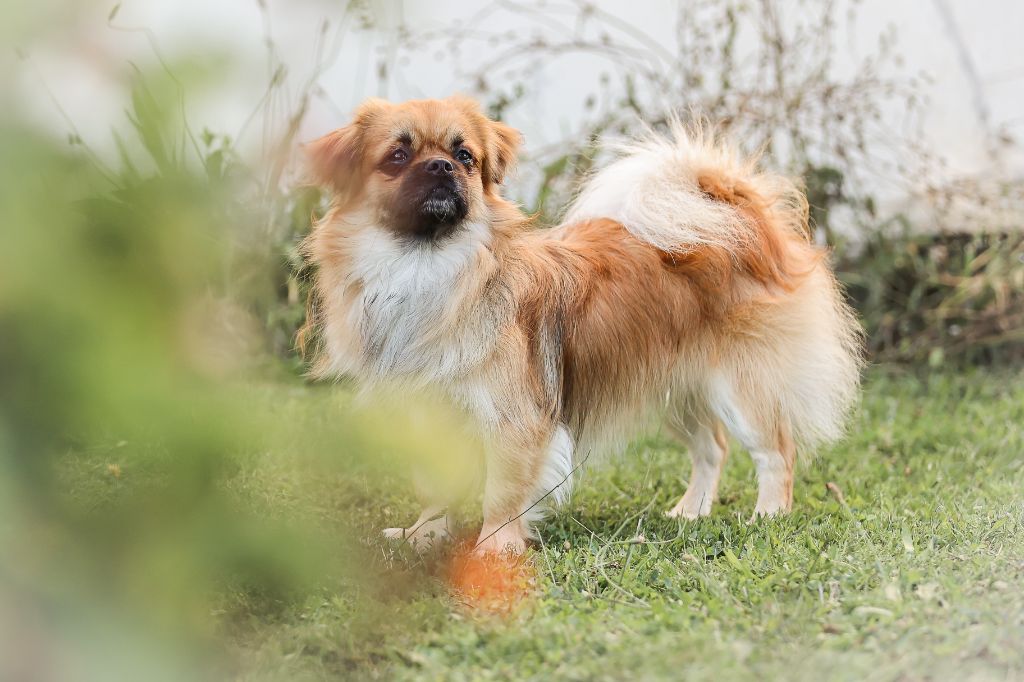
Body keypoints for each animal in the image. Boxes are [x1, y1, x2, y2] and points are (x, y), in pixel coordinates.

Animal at [299, 94, 864, 552]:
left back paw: (766, 516)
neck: (425, 270)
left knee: (775, 452)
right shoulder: (421, 417)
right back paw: (689, 514)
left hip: (741, 388)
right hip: (676, 388)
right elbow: (434, 488)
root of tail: (746, 221)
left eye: (466, 157)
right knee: (712, 450)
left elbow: (501, 495)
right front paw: (423, 535)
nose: (440, 166)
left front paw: (492, 551)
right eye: (397, 156)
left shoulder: (515, 421)